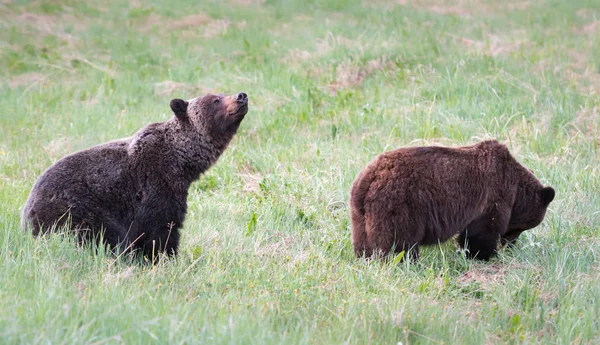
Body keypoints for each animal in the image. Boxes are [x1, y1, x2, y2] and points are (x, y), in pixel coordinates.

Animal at [22, 91, 250, 258]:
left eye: (222, 92)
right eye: (216, 99)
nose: (241, 96)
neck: (181, 162)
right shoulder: (155, 186)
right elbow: (160, 230)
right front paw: (164, 258)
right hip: (76, 211)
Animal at [350, 138, 556, 260]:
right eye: (522, 228)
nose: (510, 244)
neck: (516, 190)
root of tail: (368, 179)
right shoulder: (493, 194)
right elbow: (483, 231)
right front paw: (485, 255)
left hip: (360, 213)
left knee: (363, 239)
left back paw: (365, 257)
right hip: (400, 201)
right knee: (399, 240)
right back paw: (404, 261)